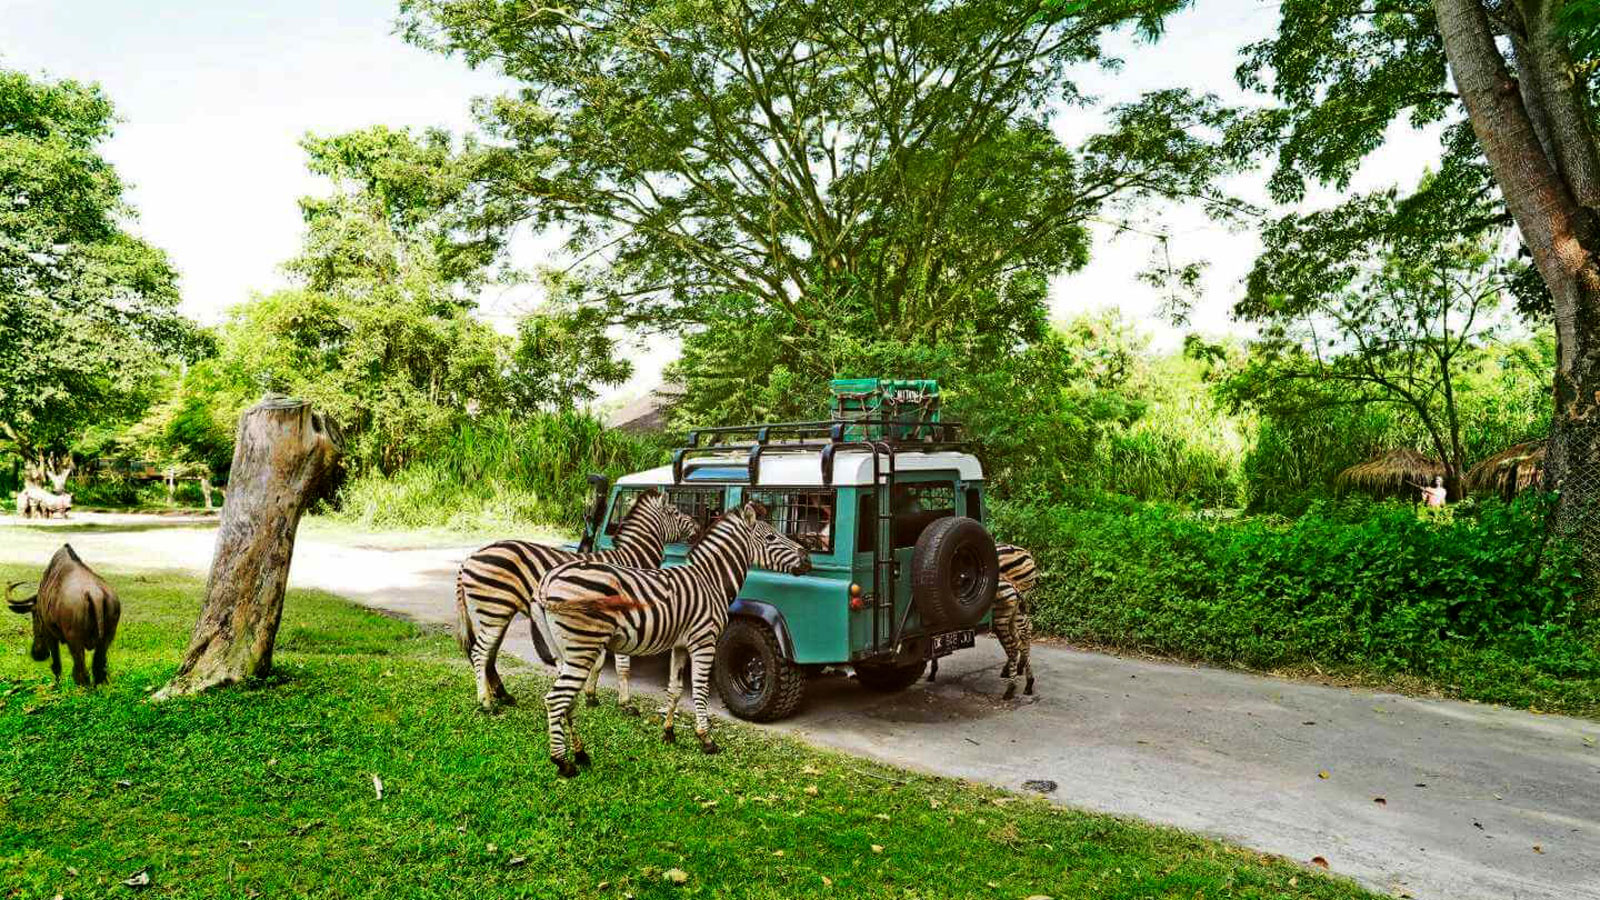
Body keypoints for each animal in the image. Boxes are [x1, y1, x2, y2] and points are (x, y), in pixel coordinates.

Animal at [451, 486, 700, 711]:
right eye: (676, 512)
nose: (698, 528)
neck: (632, 560)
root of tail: (468, 559)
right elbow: (622, 665)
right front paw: (626, 703)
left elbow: (598, 663)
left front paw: (590, 696)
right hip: (494, 610)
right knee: (479, 653)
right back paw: (486, 703)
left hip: (496, 613)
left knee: (489, 654)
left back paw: (503, 695)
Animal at [537, 496, 812, 771]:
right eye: (772, 538)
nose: (807, 558)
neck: (711, 581)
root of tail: (550, 578)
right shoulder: (704, 642)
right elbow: (700, 690)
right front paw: (706, 739)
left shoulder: (680, 645)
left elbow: (675, 688)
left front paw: (669, 732)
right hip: (582, 647)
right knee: (556, 699)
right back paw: (562, 763)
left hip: (567, 650)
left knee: (567, 699)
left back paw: (580, 754)